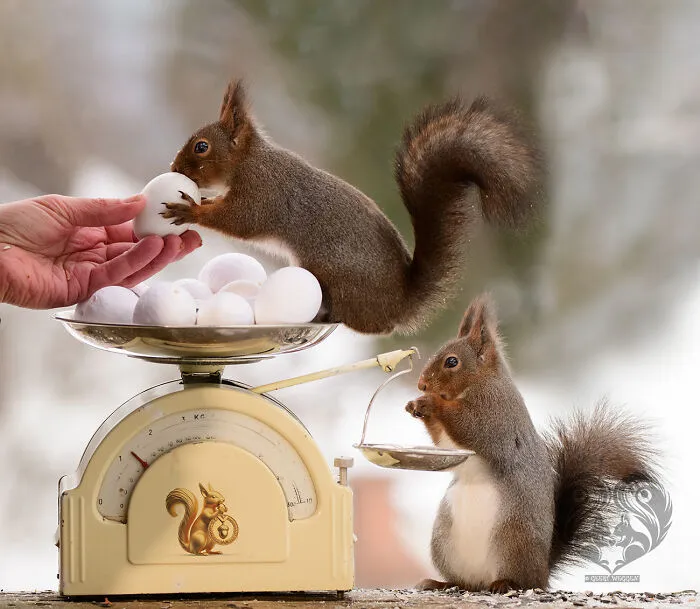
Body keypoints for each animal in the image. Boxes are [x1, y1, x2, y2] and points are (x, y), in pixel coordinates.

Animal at [162, 79, 542, 335]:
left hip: (334, 276)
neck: (249, 160)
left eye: (201, 147)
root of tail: (399, 304)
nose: (173, 168)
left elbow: (241, 221)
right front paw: (203, 200)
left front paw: (191, 210)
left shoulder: (263, 193)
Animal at [404, 292, 661, 593]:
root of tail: (544, 571)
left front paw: (431, 403)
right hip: (445, 542)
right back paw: (440, 583)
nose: (421, 385)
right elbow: (445, 444)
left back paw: (505, 583)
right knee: (465, 583)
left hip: (514, 538)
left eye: (452, 362)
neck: (481, 382)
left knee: (522, 581)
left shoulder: (494, 414)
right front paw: (416, 405)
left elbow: (470, 426)